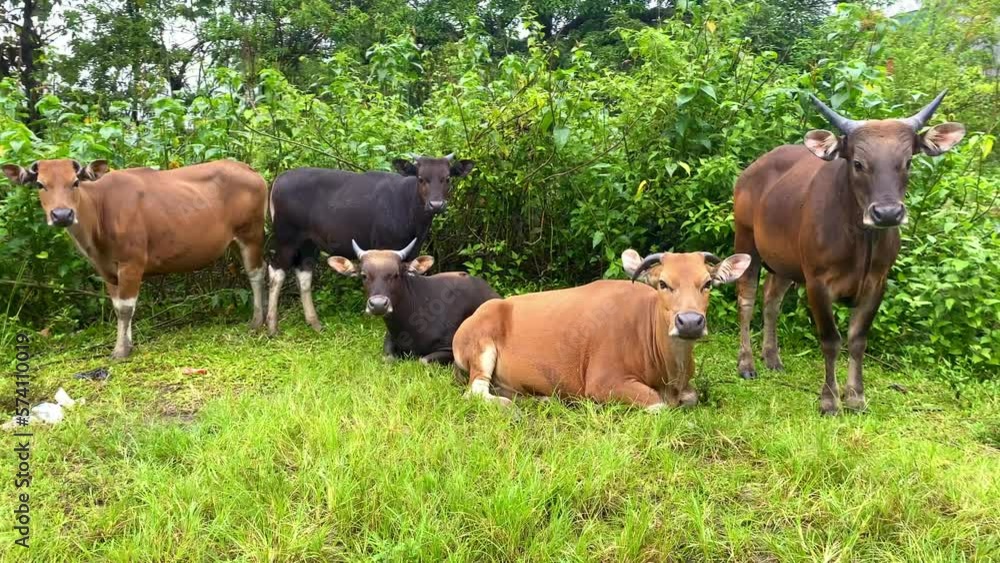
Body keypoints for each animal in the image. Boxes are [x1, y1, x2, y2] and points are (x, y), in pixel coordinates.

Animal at [2, 159, 268, 359]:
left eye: (75, 182)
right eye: (40, 184)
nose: (62, 215)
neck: (99, 212)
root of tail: (251, 170)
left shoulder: (132, 263)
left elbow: (126, 308)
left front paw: (120, 350)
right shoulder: (107, 270)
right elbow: (117, 306)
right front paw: (126, 343)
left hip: (251, 234)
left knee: (256, 273)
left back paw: (257, 321)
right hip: (233, 241)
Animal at [266, 154, 475, 336]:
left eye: (447, 178)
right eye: (421, 178)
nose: (436, 204)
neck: (408, 208)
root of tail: (278, 180)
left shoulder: (413, 250)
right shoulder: (383, 247)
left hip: (309, 242)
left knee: (304, 273)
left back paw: (314, 323)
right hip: (286, 239)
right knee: (276, 271)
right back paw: (272, 327)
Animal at [326, 238, 499, 364]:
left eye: (396, 274)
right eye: (364, 275)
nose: (378, 305)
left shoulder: (449, 348)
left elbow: (423, 360)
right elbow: (388, 358)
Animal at [453, 249, 750, 409]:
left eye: (708, 283)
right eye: (663, 283)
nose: (689, 321)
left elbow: (692, 397)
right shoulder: (603, 382)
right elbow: (657, 403)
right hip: (480, 349)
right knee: (475, 391)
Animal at [732, 91, 965, 415]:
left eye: (907, 162)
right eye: (858, 163)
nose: (887, 213)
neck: (860, 242)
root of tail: (751, 170)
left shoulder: (877, 283)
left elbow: (857, 339)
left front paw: (855, 397)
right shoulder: (817, 282)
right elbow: (831, 340)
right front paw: (830, 400)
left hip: (784, 260)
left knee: (772, 300)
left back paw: (772, 358)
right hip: (745, 241)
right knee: (747, 299)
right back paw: (747, 364)